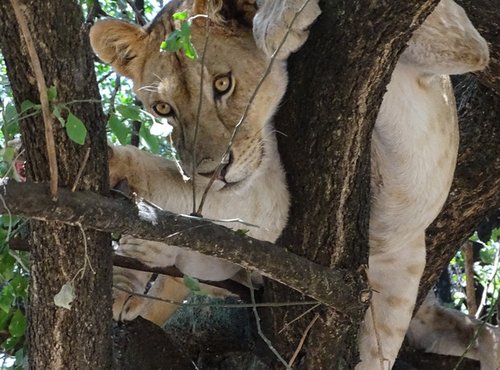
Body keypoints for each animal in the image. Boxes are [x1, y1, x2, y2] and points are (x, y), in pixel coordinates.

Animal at [90, 0, 496, 368]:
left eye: (223, 84)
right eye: (162, 109)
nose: (211, 173)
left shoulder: (460, 44)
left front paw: (277, 22)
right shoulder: (267, 194)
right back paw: (131, 273)